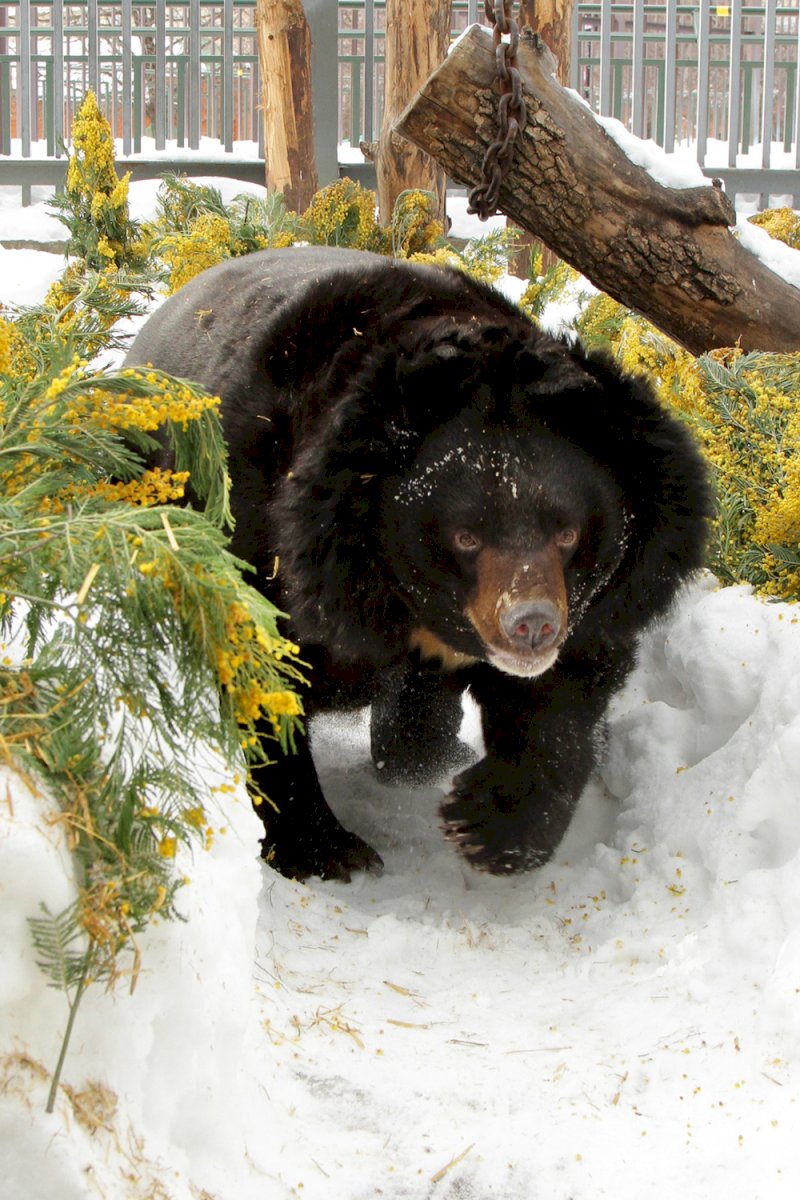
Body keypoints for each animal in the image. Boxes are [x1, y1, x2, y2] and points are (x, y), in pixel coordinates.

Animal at [126, 246, 714, 883]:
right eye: (466, 537)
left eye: (567, 533)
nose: (531, 625)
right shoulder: (259, 529)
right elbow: (261, 676)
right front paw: (329, 853)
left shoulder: (610, 587)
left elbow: (564, 695)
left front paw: (486, 825)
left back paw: (425, 755)